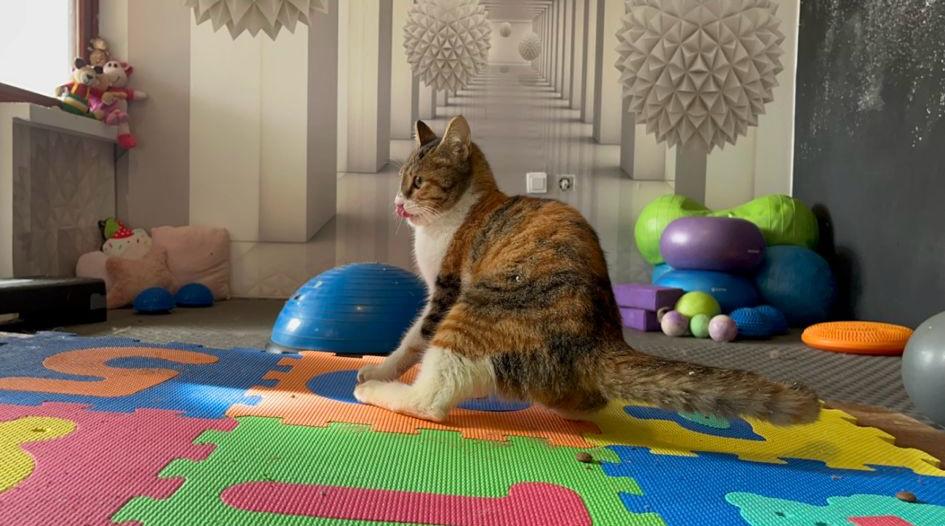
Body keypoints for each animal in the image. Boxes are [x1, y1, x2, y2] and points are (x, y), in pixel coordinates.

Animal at [354, 115, 821, 426]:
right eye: (402, 181)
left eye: (417, 183)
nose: (397, 203)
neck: (457, 212)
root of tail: (600, 342)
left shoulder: (445, 291)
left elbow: (413, 338)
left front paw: (379, 369)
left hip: (476, 306)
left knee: (432, 400)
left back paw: (377, 391)